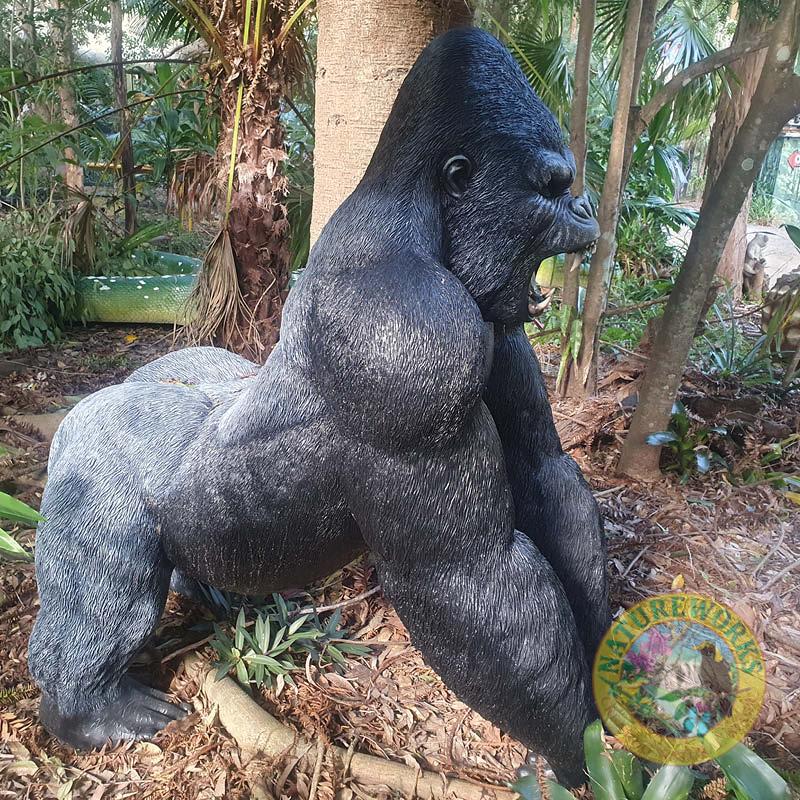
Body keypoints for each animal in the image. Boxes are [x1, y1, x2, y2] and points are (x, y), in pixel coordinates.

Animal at [28, 28, 609, 787]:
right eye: (551, 187)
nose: (588, 208)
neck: (420, 217)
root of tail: (76, 417)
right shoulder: (412, 336)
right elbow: (470, 577)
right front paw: (581, 756)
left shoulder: (497, 334)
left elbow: (545, 474)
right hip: (92, 473)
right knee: (105, 592)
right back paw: (83, 712)